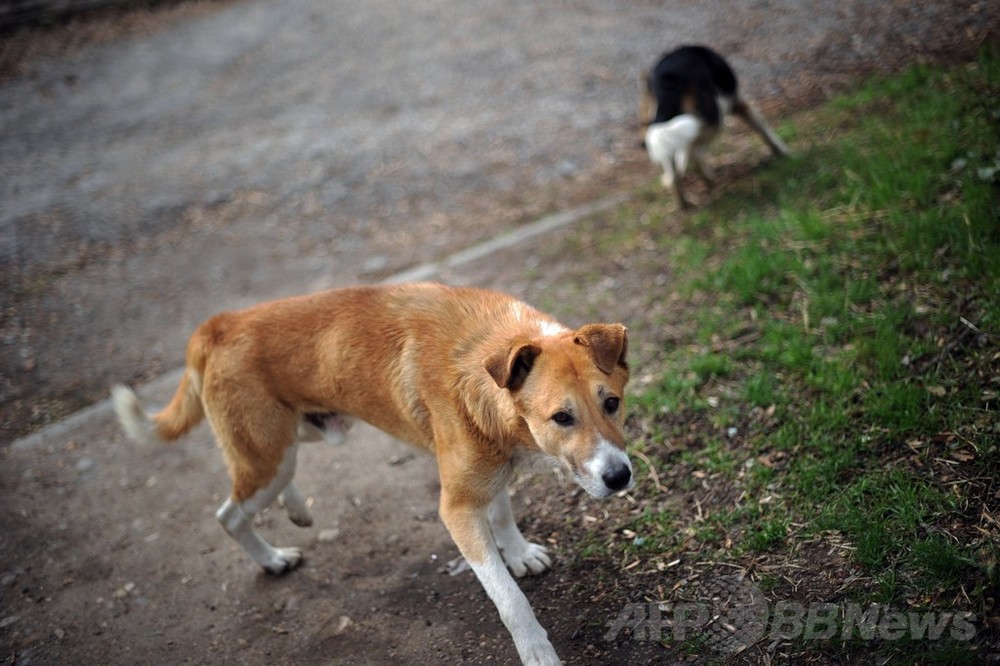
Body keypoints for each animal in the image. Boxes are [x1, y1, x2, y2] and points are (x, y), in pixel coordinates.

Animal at [113, 282, 628, 664]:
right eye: (561, 418)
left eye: (612, 403)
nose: (620, 477)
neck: (485, 362)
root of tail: (219, 324)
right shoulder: (457, 507)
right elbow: (508, 598)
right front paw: (537, 650)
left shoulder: (489, 472)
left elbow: (502, 515)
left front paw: (518, 553)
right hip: (268, 456)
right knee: (230, 513)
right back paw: (272, 559)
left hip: (300, 435)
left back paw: (295, 508)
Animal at [640, 45, 788, 206]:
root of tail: (667, 81)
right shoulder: (739, 103)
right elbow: (764, 130)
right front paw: (783, 153)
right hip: (716, 116)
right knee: (696, 156)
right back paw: (710, 181)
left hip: (666, 124)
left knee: (675, 170)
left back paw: (684, 204)